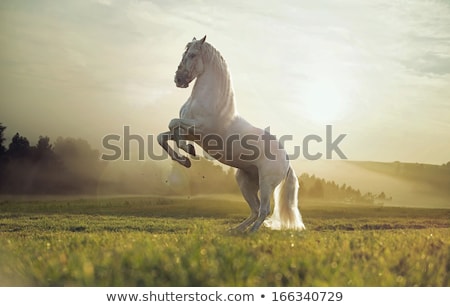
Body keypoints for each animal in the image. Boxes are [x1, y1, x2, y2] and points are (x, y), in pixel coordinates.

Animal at [158, 36, 306, 233]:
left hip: (266, 183)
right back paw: (235, 231)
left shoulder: (200, 129)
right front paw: (185, 159)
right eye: (184, 53)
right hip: (244, 181)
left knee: (264, 210)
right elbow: (164, 135)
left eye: (193, 54)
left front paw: (188, 151)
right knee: (255, 210)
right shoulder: (190, 132)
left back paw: (250, 233)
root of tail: (287, 161)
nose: (178, 79)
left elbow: (173, 123)